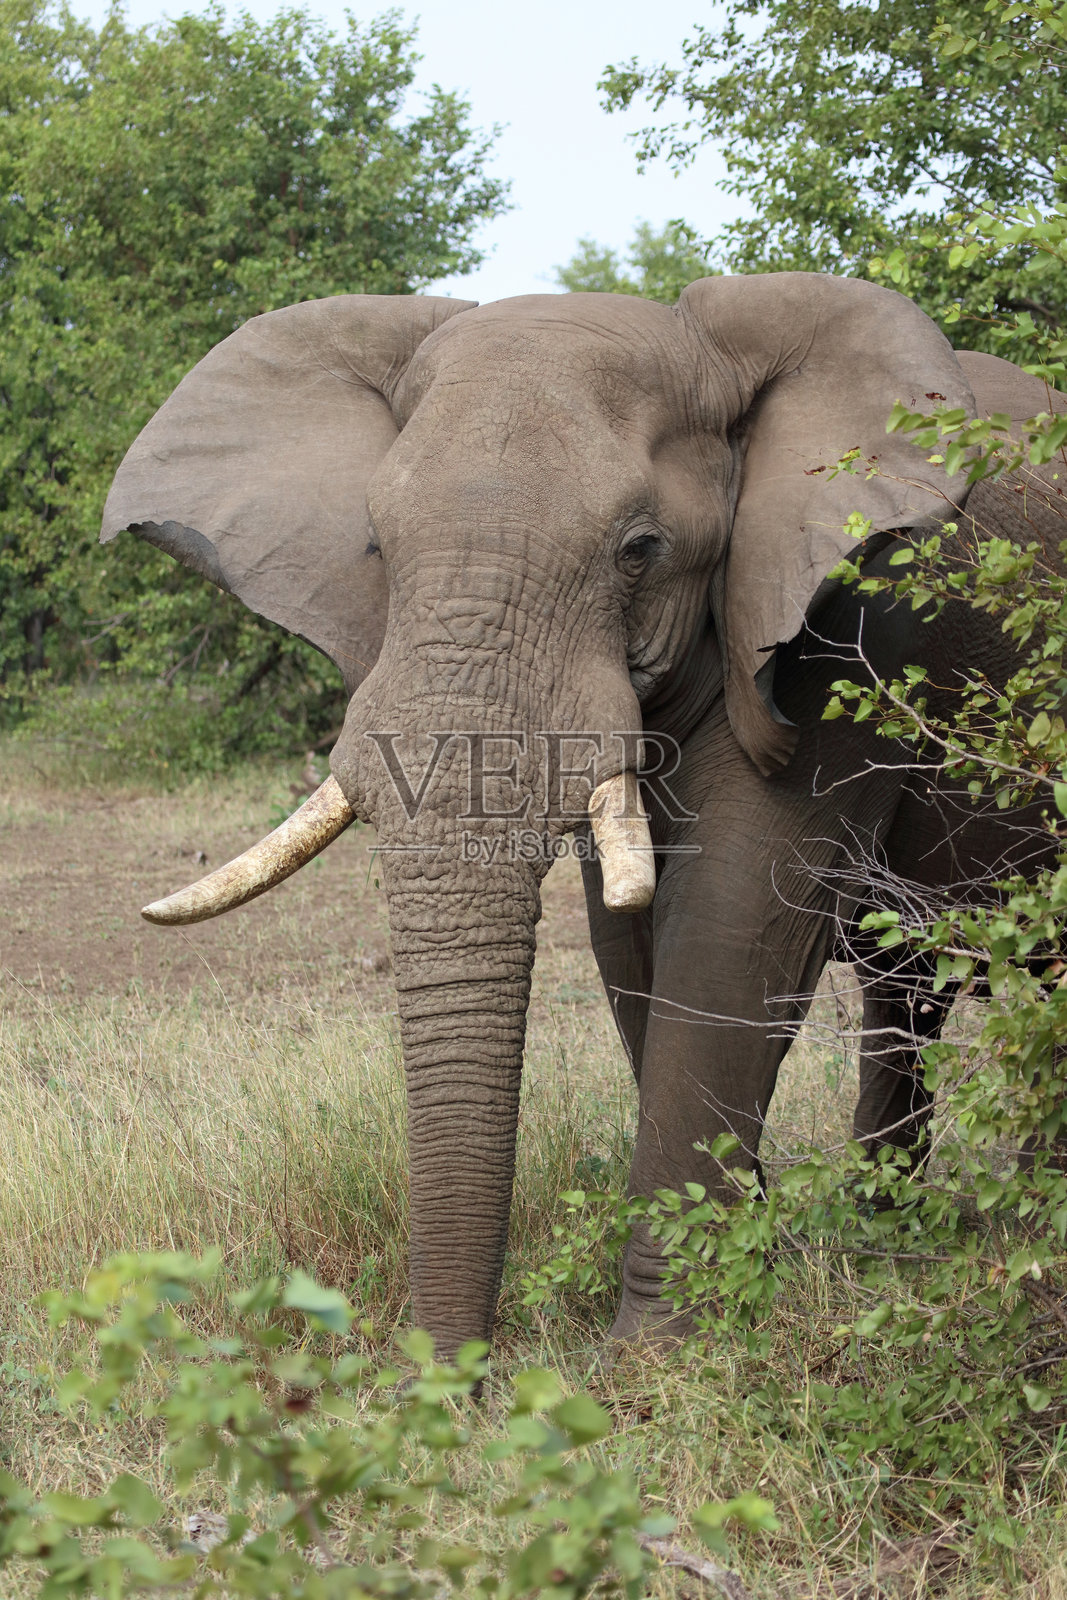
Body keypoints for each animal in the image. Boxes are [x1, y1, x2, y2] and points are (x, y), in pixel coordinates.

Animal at [100, 275, 1067, 1358]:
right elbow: (626, 941)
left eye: (639, 550)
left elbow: (727, 925)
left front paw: (654, 1356)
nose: (450, 1375)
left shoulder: (854, 623)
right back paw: (893, 1230)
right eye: (376, 547)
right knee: (904, 984)